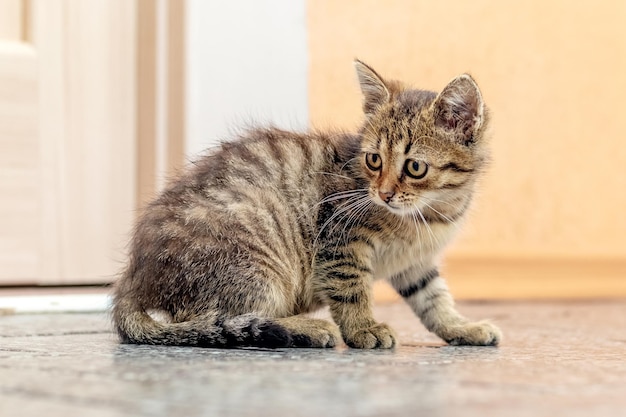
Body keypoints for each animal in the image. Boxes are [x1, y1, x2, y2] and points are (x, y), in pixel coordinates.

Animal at [111, 59, 502, 348]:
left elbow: (434, 298)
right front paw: (363, 328)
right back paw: (306, 328)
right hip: (255, 266)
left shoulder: (416, 263)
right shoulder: (340, 239)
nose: (384, 194)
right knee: (221, 319)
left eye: (414, 167)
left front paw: (460, 327)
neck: (431, 213)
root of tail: (132, 280)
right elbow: (351, 289)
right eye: (374, 160)